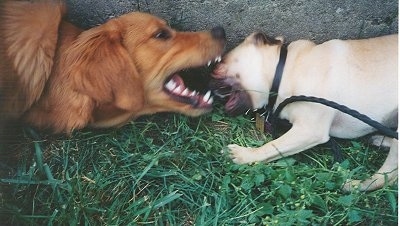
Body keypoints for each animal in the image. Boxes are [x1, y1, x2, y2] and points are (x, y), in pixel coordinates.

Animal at [211, 32, 398, 191]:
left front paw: (244, 155)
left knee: (387, 176)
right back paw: (380, 140)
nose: (208, 72)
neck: (286, 70)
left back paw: (354, 184)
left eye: (221, 61)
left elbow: (271, 146)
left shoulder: (309, 130)